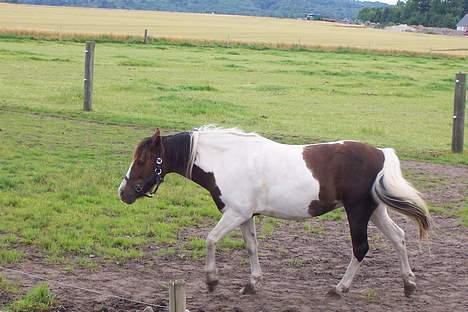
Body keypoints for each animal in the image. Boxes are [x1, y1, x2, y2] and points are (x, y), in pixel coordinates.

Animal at [118, 126, 432, 298]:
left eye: (142, 160)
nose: (123, 193)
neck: (228, 160)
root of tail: (380, 153)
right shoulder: (245, 216)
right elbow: (251, 248)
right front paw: (252, 284)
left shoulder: (234, 214)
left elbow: (210, 240)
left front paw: (212, 281)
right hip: (375, 211)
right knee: (399, 238)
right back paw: (409, 285)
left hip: (357, 212)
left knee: (361, 248)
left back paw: (339, 289)